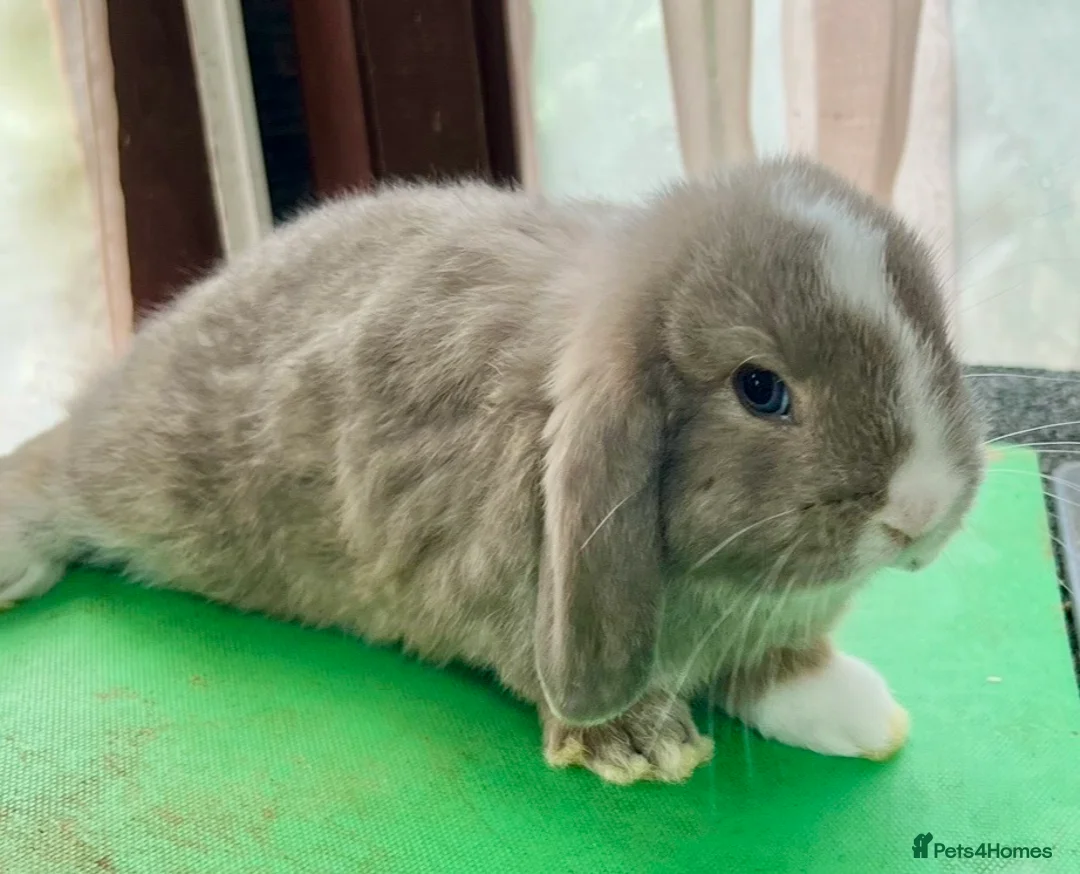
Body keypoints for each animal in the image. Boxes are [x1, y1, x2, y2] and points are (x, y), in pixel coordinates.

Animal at [0, 157, 984, 785]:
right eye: (760, 388)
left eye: (935, 330)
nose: (922, 511)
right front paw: (638, 743)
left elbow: (776, 667)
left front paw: (851, 710)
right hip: (133, 468)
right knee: (54, 473)